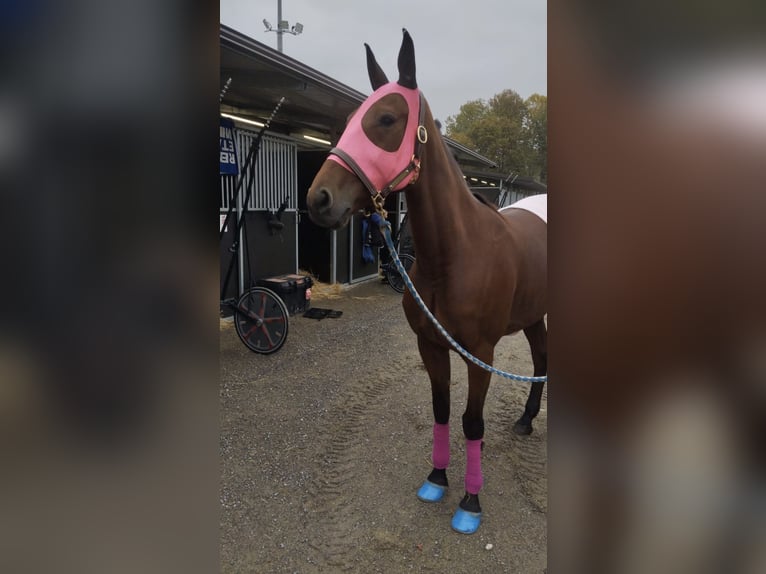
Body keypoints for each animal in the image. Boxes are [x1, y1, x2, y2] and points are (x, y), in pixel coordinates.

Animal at [306, 29, 547, 534]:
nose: (319, 199)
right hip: (534, 313)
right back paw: (526, 419)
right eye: (349, 120)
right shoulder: (431, 345)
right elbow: (442, 410)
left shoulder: (481, 353)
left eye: (387, 118)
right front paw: (437, 479)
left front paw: (471, 502)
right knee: (540, 357)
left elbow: (471, 421)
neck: (455, 255)